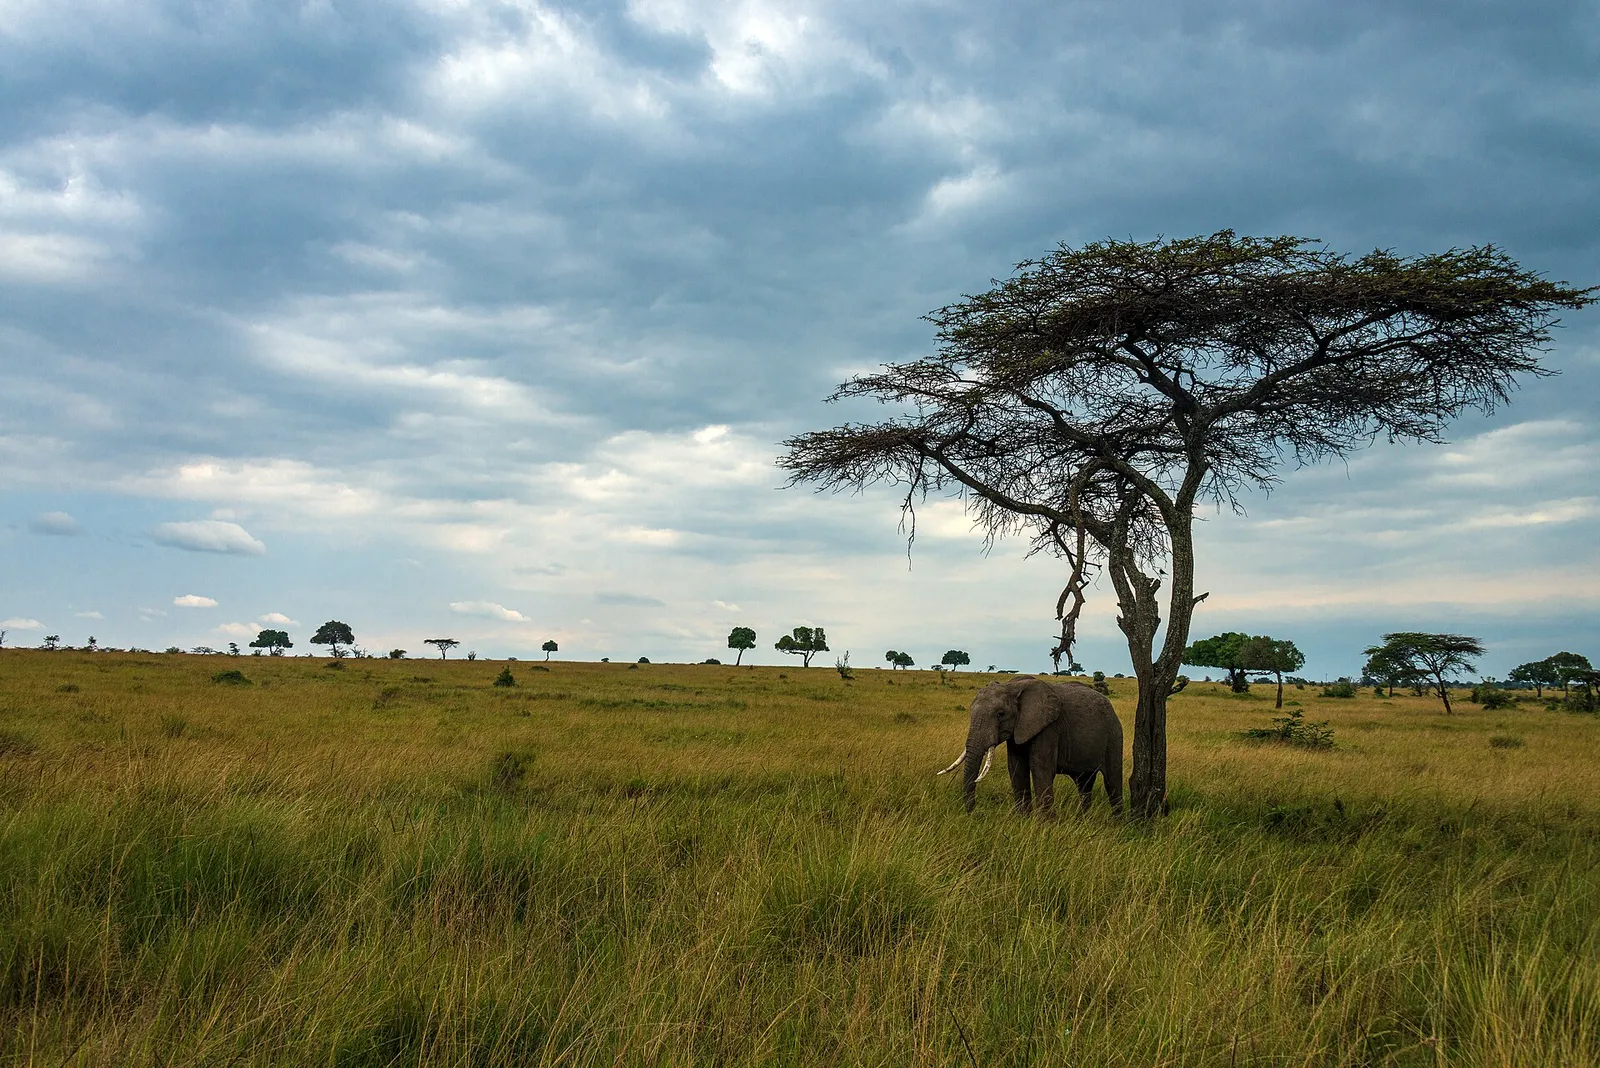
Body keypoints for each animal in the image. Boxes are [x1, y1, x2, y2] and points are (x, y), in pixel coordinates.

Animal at [938, 676, 1123, 816]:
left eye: (1000, 714)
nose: (976, 814)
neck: (1012, 686)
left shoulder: (1049, 727)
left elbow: (1041, 768)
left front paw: (1046, 825)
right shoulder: (1017, 730)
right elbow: (1016, 768)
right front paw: (1022, 819)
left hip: (1114, 734)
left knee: (1112, 782)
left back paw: (1117, 823)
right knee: (1084, 783)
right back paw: (1082, 820)